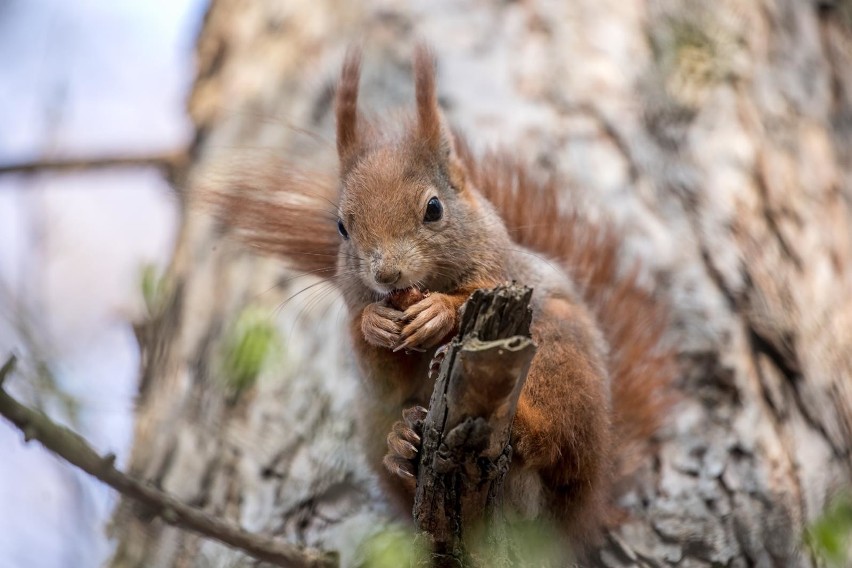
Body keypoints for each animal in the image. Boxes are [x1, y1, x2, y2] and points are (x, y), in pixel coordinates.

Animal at [213, 46, 680, 552]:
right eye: (341, 227)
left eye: (433, 209)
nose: (386, 274)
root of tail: (581, 513)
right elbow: (385, 378)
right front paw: (373, 323)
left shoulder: (509, 272)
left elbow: (475, 293)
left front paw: (439, 311)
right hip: (372, 419)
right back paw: (402, 445)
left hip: (563, 355)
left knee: (556, 443)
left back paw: (524, 425)